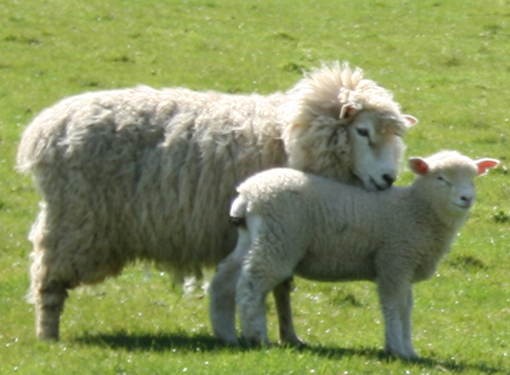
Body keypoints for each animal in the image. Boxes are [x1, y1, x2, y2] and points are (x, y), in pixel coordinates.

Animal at [17, 62, 416, 344]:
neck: (286, 135)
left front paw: (291, 336)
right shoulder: (280, 228)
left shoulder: (289, 229)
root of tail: (44, 129)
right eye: (362, 131)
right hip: (76, 220)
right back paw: (48, 335)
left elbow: (282, 289)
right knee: (47, 279)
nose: (387, 179)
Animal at [215, 151, 498, 360]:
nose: (466, 198)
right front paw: (398, 350)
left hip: (253, 238)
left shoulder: (403, 267)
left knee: (224, 279)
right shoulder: (394, 261)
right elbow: (394, 306)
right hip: (278, 240)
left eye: (473, 179)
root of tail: (247, 194)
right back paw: (257, 337)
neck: (417, 209)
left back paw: (225, 334)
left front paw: (409, 350)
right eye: (440, 178)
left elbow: (406, 307)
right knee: (251, 285)